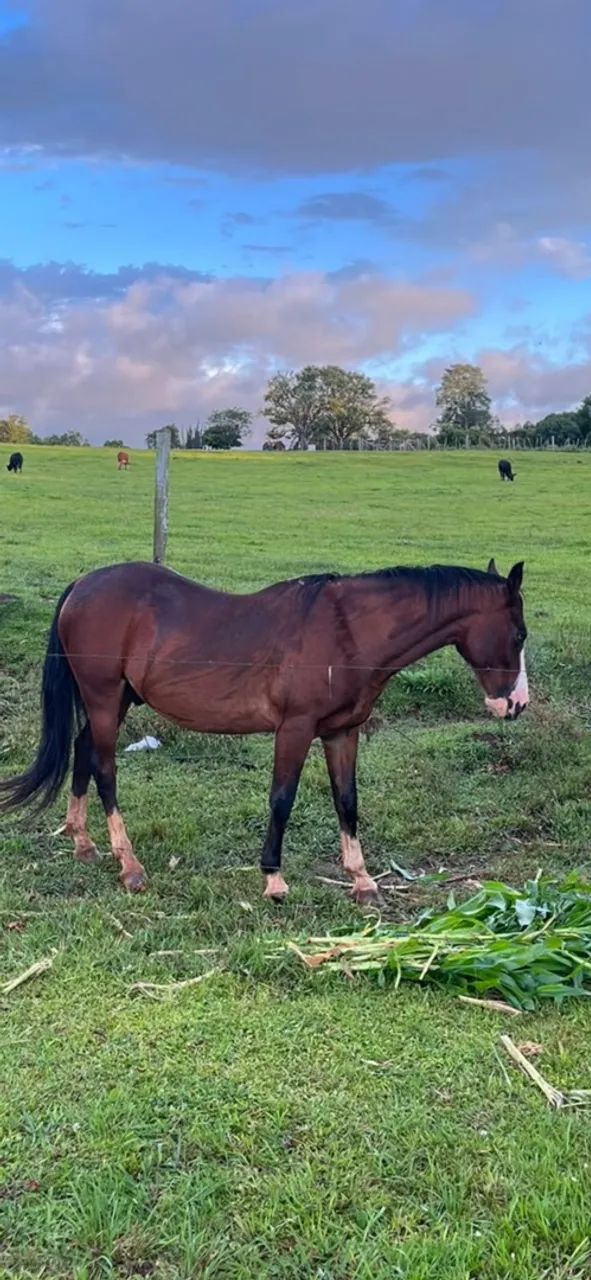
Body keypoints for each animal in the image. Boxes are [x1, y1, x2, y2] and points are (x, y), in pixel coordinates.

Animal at [0, 558, 529, 903]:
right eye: (519, 634)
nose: (515, 705)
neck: (347, 631)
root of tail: (82, 585)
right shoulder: (294, 730)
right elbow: (282, 799)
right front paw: (273, 878)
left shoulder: (342, 732)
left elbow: (347, 801)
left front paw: (362, 880)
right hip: (105, 698)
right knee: (106, 768)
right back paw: (129, 865)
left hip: (117, 700)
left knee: (83, 748)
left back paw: (82, 841)